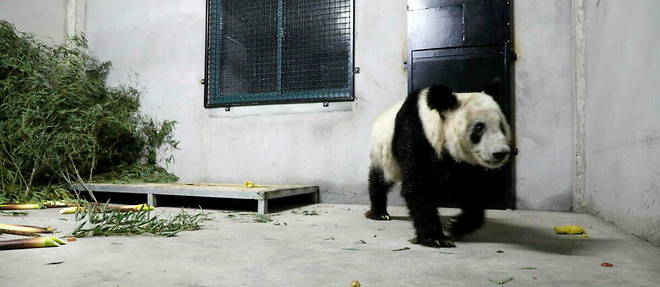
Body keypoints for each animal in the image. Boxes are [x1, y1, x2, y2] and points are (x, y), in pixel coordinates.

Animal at [364, 82, 512, 248]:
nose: (500, 153)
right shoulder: (415, 134)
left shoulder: (461, 163)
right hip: (384, 154)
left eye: (502, 126)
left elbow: (469, 187)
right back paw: (379, 213)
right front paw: (435, 238)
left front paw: (456, 225)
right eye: (479, 128)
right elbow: (418, 185)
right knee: (380, 179)